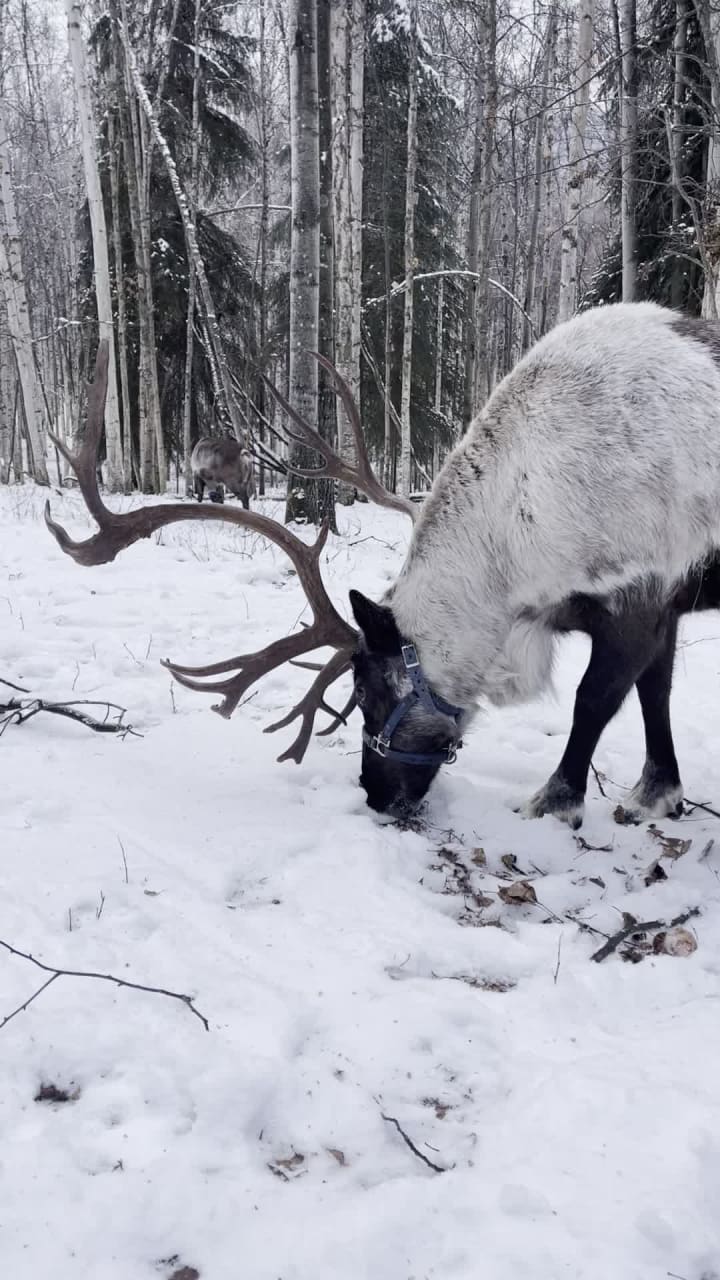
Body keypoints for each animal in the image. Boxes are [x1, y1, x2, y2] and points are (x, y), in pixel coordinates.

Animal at [44, 302, 720, 830]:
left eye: (364, 690)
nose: (375, 796)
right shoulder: (663, 607)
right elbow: (655, 694)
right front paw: (658, 792)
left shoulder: (636, 600)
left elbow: (594, 701)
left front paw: (555, 802)